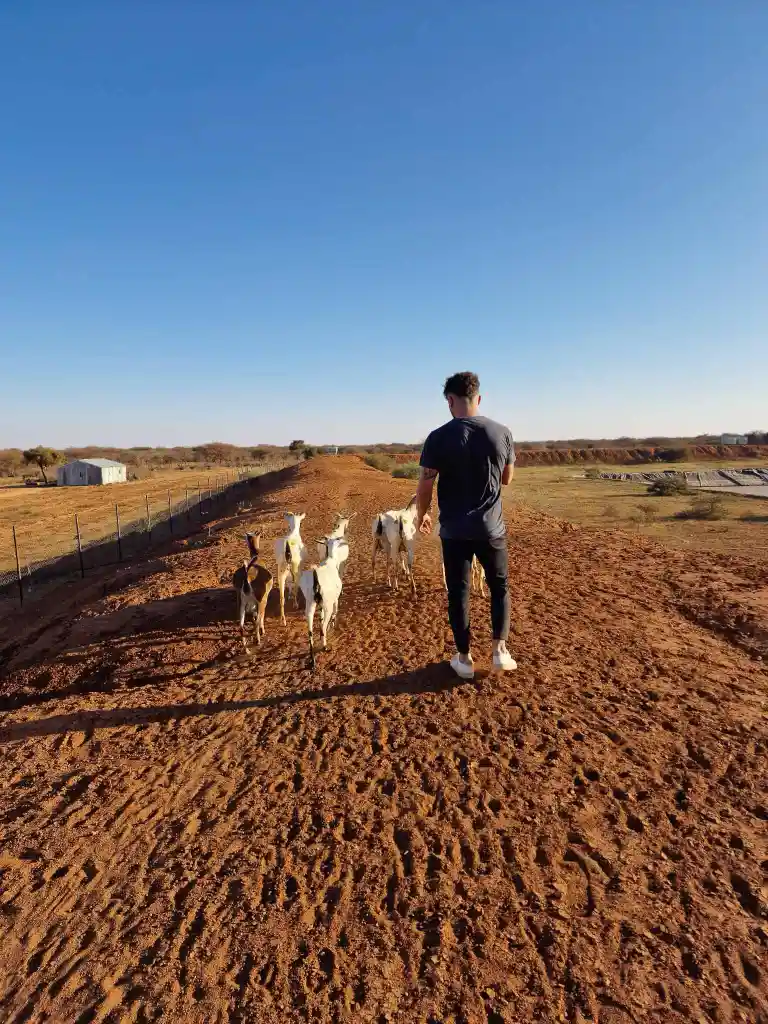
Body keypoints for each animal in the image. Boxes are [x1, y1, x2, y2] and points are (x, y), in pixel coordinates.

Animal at [299, 536, 346, 670]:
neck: (330, 561)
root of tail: (316, 580)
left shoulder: (320, 606)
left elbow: (320, 618)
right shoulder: (334, 599)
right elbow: (335, 611)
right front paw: (332, 625)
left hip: (310, 604)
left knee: (310, 632)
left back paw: (313, 661)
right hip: (327, 605)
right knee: (324, 625)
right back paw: (325, 646)